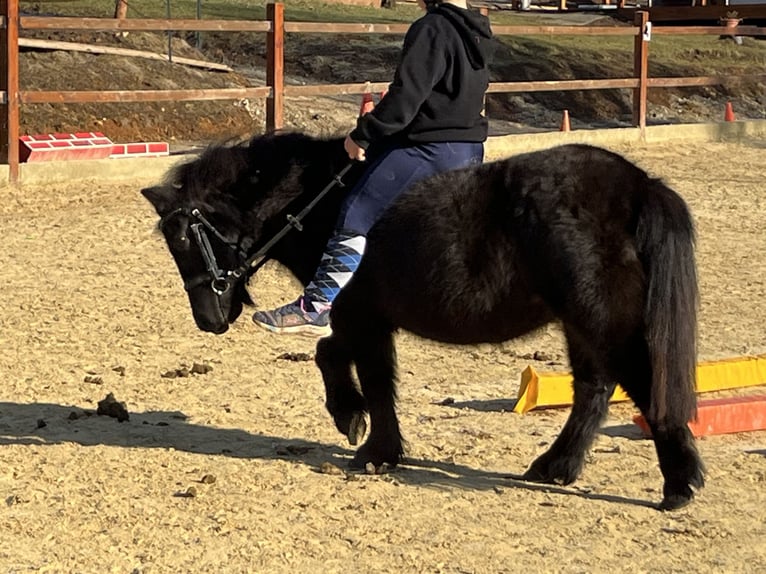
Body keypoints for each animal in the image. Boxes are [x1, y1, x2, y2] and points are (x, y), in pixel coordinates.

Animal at [141, 132, 704, 512]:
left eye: (184, 236)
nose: (209, 320)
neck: (316, 201)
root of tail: (637, 186)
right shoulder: (359, 317)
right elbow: (334, 356)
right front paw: (353, 420)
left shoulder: (361, 314)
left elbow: (371, 377)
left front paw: (373, 446)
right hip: (580, 321)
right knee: (594, 388)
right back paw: (556, 468)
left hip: (600, 317)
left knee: (642, 385)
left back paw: (679, 485)